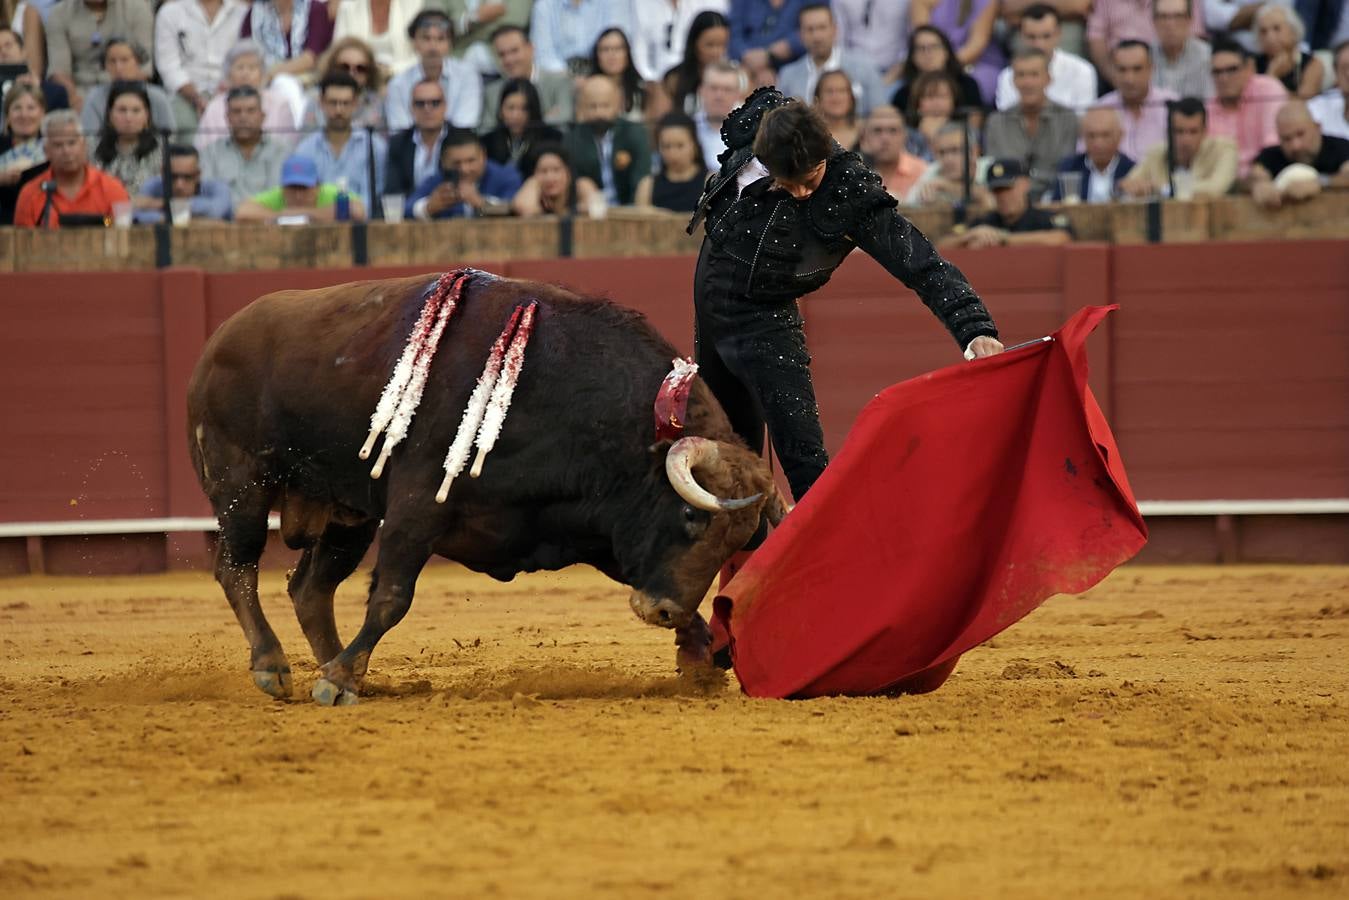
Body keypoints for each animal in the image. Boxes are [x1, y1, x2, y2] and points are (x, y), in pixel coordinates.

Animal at [184, 271, 787, 707]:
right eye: (692, 518)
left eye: (738, 544)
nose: (662, 612)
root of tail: (216, 344)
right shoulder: (416, 507)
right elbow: (391, 598)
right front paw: (337, 681)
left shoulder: (588, 526)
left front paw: (698, 655)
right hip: (241, 485)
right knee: (237, 569)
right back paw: (277, 667)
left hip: (347, 514)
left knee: (310, 588)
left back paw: (345, 671)